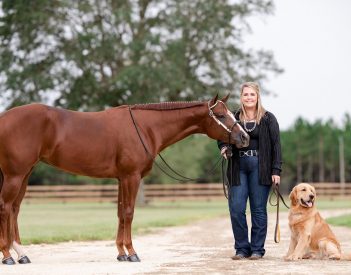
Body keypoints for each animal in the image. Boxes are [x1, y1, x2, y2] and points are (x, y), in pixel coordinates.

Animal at [0, 95, 250, 266]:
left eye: (231, 113)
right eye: (221, 116)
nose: (244, 137)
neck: (145, 127)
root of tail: (4, 117)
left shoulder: (121, 178)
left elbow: (120, 212)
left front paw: (121, 253)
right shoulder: (131, 177)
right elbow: (129, 212)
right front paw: (132, 253)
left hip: (25, 173)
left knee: (14, 209)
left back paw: (22, 254)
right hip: (15, 174)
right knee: (5, 207)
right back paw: (7, 256)